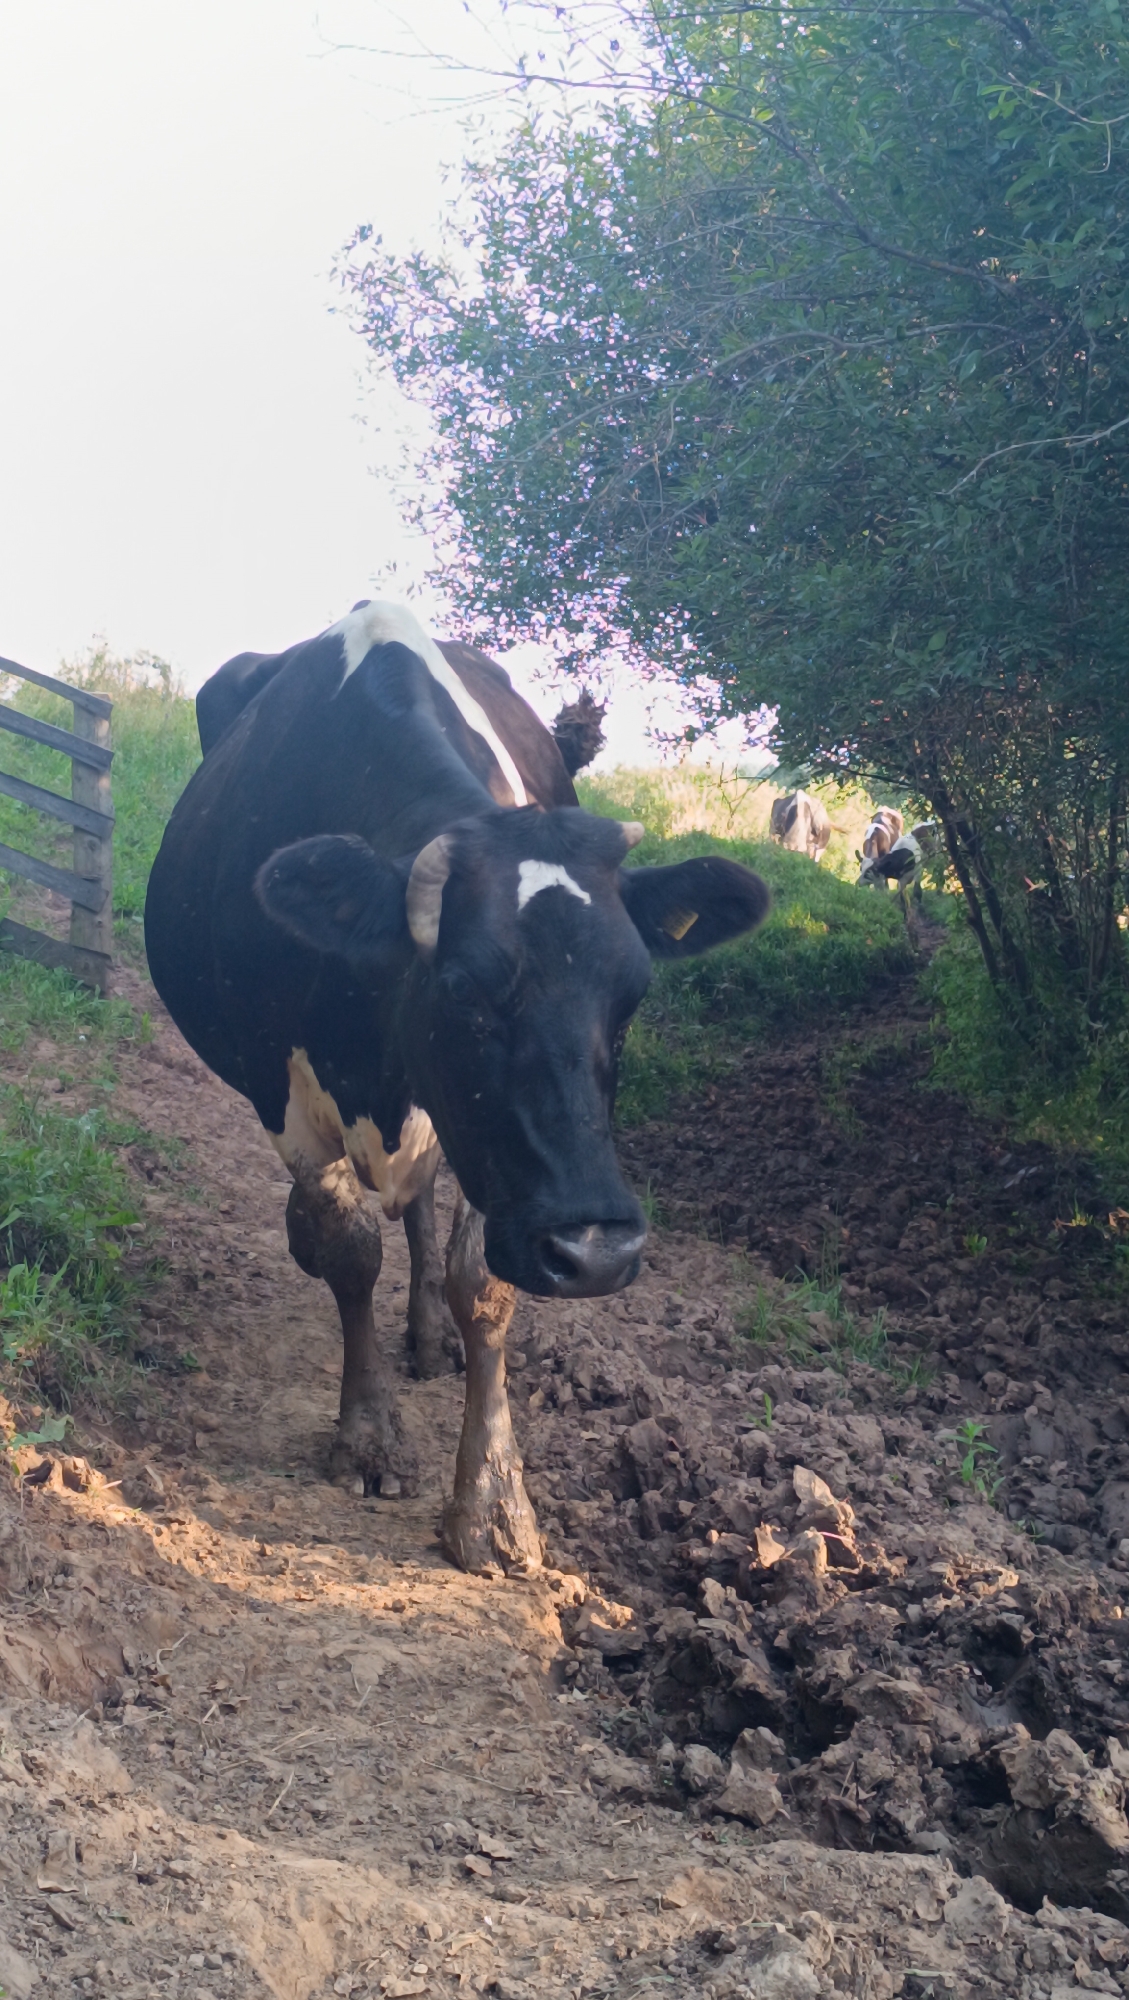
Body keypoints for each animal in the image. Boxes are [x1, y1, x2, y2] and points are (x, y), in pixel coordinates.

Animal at [145, 602, 769, 1575]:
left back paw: (429, 1333)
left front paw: (493, 1499)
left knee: (424, 1210)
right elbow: (346, 1248)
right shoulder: (282, 1092)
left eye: (631, 995)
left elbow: (482, 1283)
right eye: (463, 990)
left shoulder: (500, 1161)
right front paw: (367, 1435)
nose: (598, 1251)